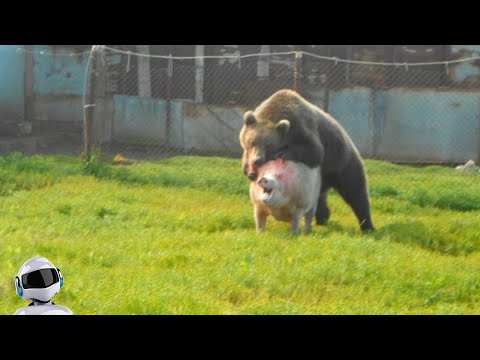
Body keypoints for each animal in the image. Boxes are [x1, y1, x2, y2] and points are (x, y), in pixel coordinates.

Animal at [240, 88, 376, 232]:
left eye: (268, 145)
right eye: (252, 142)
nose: (257, 160)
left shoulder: (303, 129)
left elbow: (315, 151)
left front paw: (283, 154)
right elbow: (245, 160)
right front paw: (250, 172)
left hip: (341, 160)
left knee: (355, 190)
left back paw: (367, 225)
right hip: (322, 178)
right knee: (320, 198)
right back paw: (322, 218)